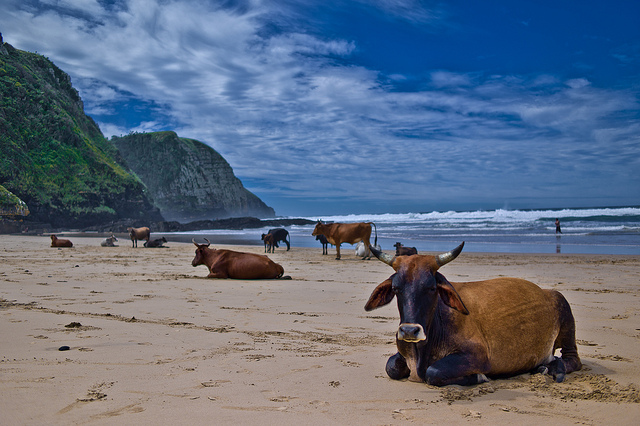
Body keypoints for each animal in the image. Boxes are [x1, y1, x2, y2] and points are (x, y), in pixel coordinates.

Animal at [364, 243, 580, 386]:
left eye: (432, 287)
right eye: (396, 288)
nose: (409, 331)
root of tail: (545, 291)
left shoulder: (479, 355)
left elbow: (434, 372)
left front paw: (478, 376)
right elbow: (391, 366)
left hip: (565, 311)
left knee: (573, 359)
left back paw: (553, 368)